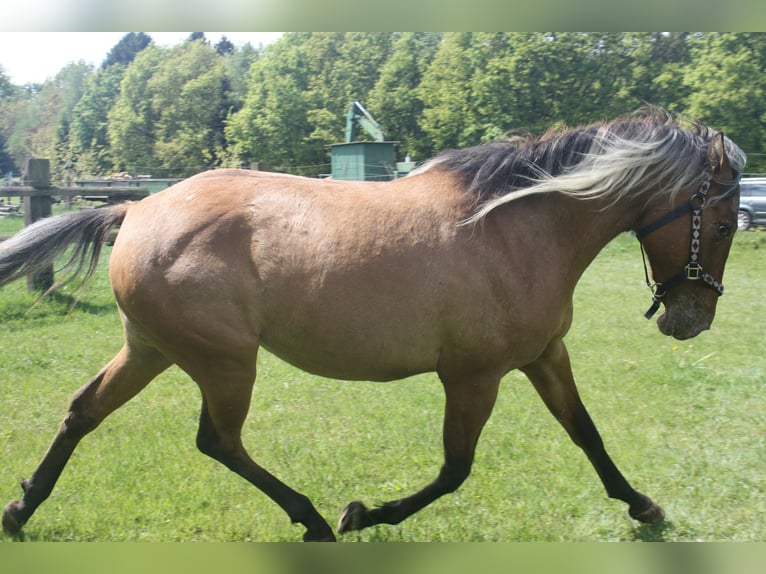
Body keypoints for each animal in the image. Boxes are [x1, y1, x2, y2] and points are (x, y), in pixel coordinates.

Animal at [0, 108, 745, 541]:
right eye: (725, 221)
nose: (692, 321)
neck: (515, 228)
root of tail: (135, 209)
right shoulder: (473, 376)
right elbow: (455, 469)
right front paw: (362, 514)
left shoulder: (544, 355)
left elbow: (586, 434)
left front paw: (643, 506)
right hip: (224, 361)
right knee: (218, 440)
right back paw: (313, 520)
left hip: (152, 348)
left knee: (83, 411)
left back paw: (21, 510)